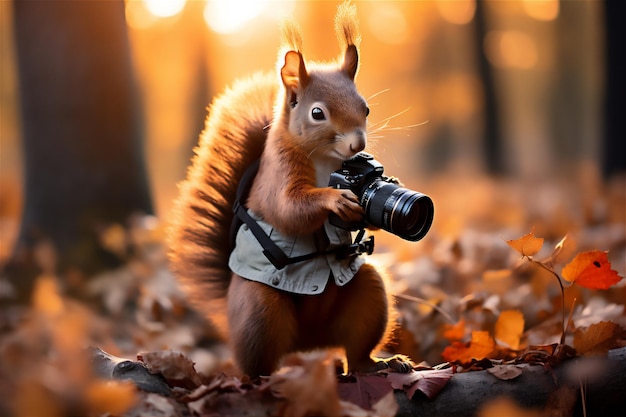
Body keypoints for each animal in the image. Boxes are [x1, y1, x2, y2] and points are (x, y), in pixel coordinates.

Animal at [166, 0, 410, 376]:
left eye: (366, 108)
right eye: (317, 113)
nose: (357, 144)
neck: (327, 160)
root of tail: (308, 344)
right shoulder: (279, 174)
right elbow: (288, 209)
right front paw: (335, 199)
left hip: (369, 292)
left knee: (356, 354)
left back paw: (381, 363)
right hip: (260, 310)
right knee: (257, 362)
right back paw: (264, 378)